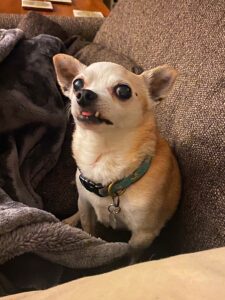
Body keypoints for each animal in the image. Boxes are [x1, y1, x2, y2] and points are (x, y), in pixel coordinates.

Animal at [52, 54, 181, 260]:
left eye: (123, 90)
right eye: (77, 83)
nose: (83, 94)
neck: (103, 155)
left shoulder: (142, 236)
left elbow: (132, 255)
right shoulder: (86, 207)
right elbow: (89, 231)